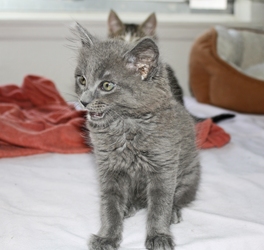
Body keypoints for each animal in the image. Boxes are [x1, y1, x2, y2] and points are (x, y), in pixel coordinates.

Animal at [73, 22, 199, 249]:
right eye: (82, 80)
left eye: (107, 85)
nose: (84, 101)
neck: (124, 126)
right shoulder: (108, 167)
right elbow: (109, 205)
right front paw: (107, 237)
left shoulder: (164, 167)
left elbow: (160, 205)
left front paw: (159, 236)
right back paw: (128, 207)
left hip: (189, 173)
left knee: (179, 196)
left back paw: (173, 211)